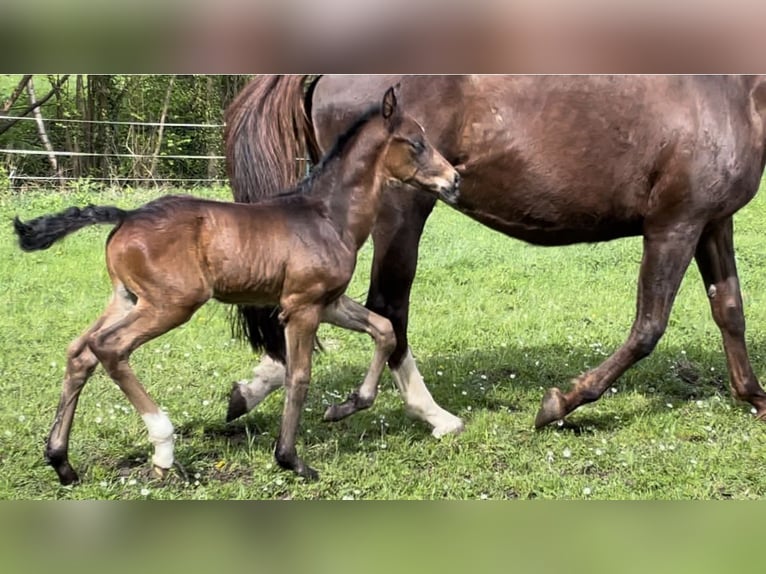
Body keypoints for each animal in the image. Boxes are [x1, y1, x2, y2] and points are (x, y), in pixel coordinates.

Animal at [15, 89, 462, 486]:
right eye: (416, 143)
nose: (454, 180)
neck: (328, 215)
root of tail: (125, 216)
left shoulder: (328, 301)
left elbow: (383, 331)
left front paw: (346, 406)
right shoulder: (302, 306)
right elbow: (300, 376)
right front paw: (291, 459)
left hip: (127, 298)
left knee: (80, 352)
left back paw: (62, 462)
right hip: (170, 304)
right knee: (108, 347)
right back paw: (163, 448)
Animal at [228, 76, 766, 436]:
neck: (730, 94)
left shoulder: (712, 223)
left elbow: (730, 310)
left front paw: (755, 396)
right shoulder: (674, 225)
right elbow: (648, 327)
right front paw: (558, 404)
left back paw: (253, 387)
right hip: (402, 212)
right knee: (388, 307)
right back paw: (434, 415)